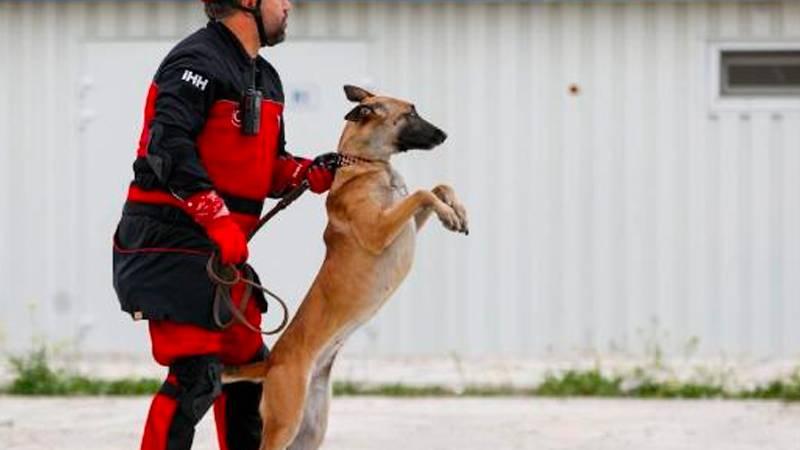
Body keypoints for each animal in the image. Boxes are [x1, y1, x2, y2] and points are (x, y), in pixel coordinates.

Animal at [225, 85, 468, 450]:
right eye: (409, 114)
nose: (444, 135)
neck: (367, 165)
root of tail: (271, 362)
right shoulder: (379, 231)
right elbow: (422, 193)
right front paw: (450, 213)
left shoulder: (404, 224)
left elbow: (437, 188)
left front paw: (456, 211)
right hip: (285, 424)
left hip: (310, 430)